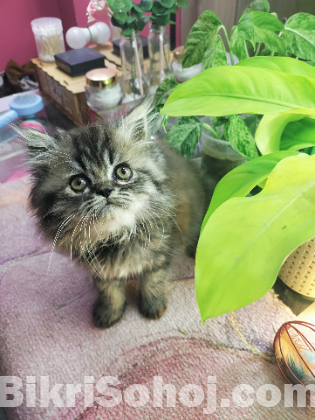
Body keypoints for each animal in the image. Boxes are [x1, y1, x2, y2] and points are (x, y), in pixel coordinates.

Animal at [19, 102, 207, 328]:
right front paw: (110, 312)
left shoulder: (159, 253)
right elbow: (109, 291)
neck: (115, 236)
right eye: (78, 183)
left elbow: (153, 281)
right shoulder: (99, 271)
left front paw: (153, 306)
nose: (105, 190)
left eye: (123, 172)